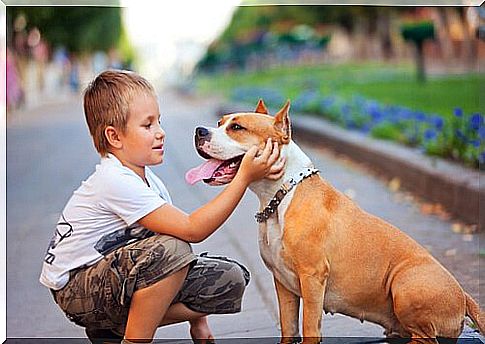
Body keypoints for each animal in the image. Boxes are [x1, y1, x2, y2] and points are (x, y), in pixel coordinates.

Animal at [185, 99, 484, 344]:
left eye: (237, 127)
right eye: (219, 123)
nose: (199, 131)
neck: (280, 196)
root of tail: (464, 294)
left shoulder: (312, 277)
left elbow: (309, 328)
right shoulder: (283, 283)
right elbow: (288, 327)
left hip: (406, 283)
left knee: (425, 338)